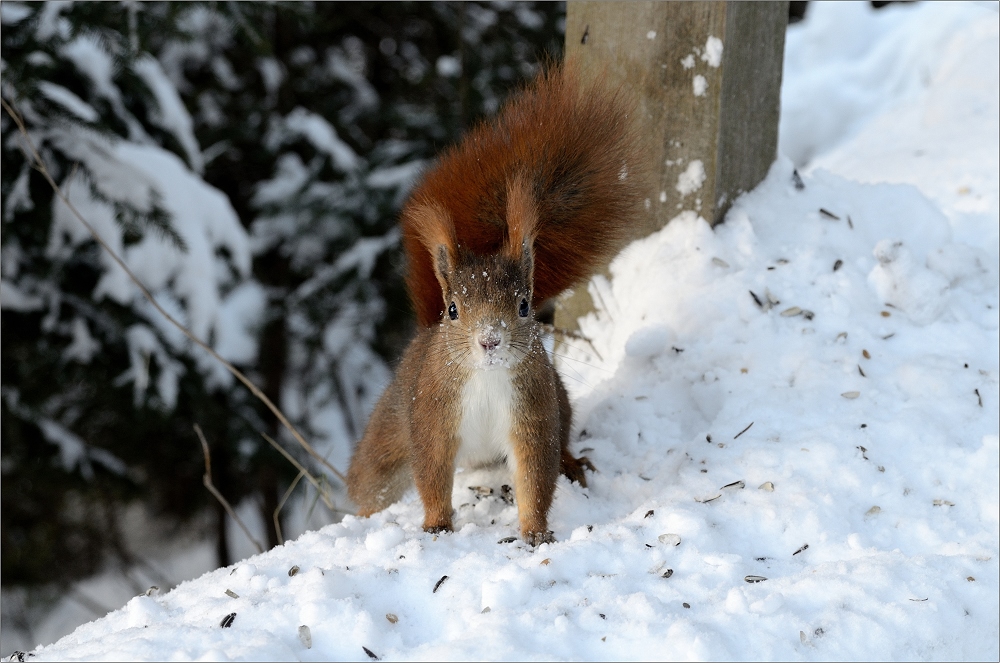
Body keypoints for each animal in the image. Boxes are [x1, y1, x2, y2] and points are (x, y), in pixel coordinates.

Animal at [348, 62, 644, 544]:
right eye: (454, 310)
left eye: (524, 306)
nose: (490, 341)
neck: (486, 378)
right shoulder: (432, 418)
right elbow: (431, 474)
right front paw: (436, 525)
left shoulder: (533, 415)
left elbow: (535, 476)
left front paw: (535, 533)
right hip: (390, 430)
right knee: (372, 482)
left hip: (560, 404)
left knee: (560, 444)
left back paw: (573, 463)